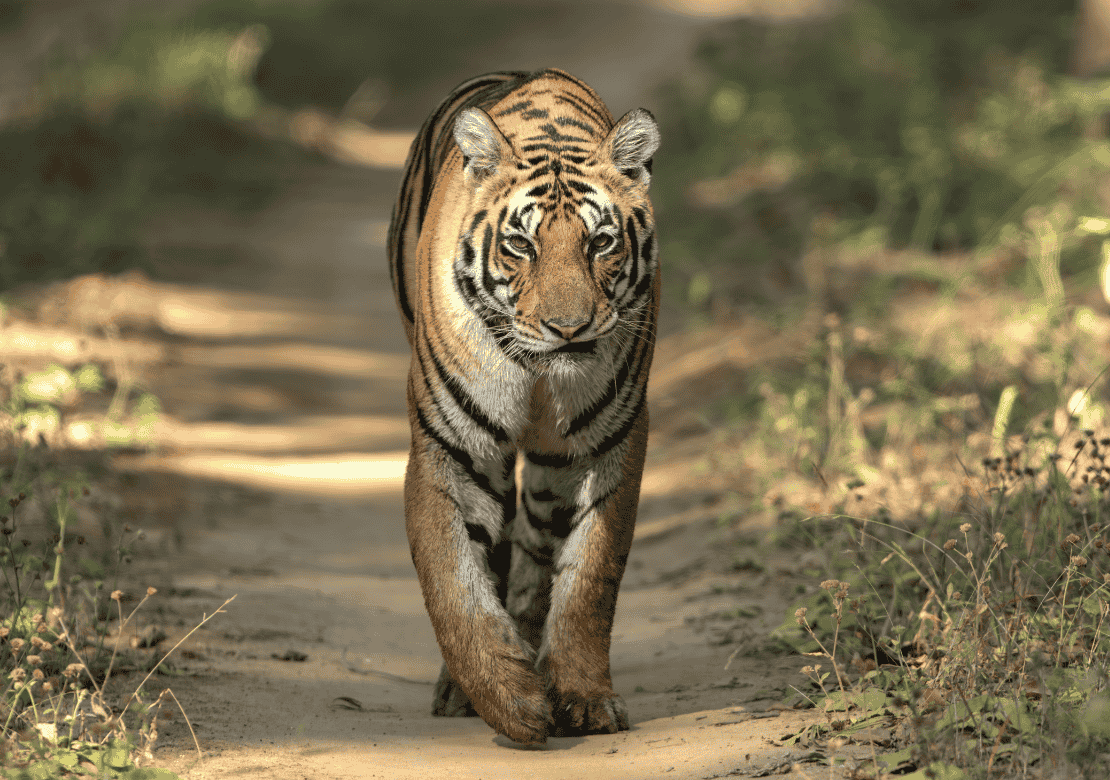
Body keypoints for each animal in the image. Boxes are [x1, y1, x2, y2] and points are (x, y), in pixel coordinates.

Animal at [387, 68, 660, 745]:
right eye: (519, 245)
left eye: (601, 243)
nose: (568, 329)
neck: (539, 377)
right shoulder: (450, 446)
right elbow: (453, 580)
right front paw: (507, 699)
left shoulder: (609, 443)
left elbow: (590, 577)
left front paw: (582, 697)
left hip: (551, 470)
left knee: (536, 549)